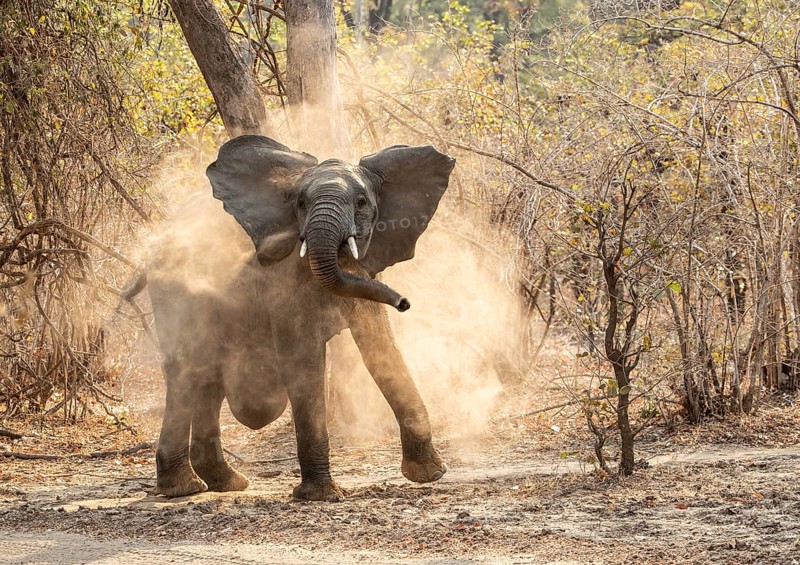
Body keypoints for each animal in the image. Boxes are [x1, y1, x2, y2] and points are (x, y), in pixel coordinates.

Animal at [141, 134, 455, 501]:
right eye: (300, 203)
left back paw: (226, 483)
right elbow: (304, 358)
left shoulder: (365, 268)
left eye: (362, 202)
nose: (404, 302)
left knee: (207, 375)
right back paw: (184, 488)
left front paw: (430, 475)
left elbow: (381, 347)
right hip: (175, 291)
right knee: (186, 371)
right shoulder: (285, 277)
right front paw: (322, 496)